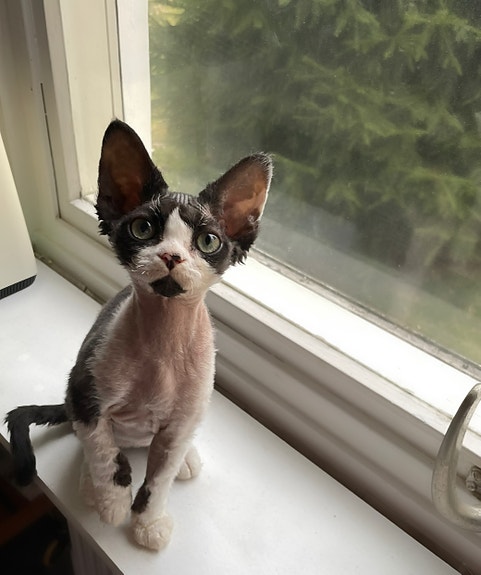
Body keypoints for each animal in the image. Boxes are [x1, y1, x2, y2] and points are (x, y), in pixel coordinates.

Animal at [5, 119, 272, 550]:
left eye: (208, 241)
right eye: (143, 228)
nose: (171, 256)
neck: (164, 342)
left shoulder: (179, 423)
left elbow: (159, 480)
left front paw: (148, 522)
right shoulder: (86, 396)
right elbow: (104, 455)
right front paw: (113, 503)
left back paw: (186, 459)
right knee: (92, 444)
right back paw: (89, 486)